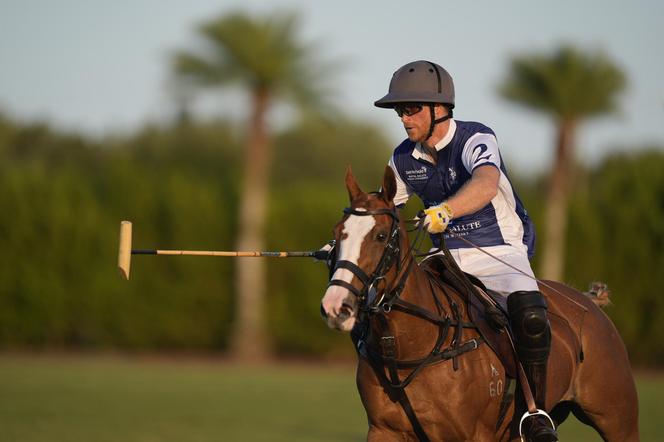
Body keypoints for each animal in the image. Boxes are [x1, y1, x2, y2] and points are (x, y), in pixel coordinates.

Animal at [320, 167, 640, 442]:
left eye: (381, 235)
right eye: (336, 234)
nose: (336, 306)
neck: (412, 345)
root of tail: (589, 301)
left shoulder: (474, 435)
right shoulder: (384, 430)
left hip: (618, 418)